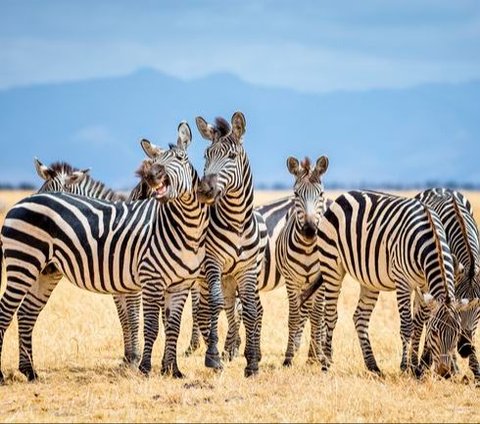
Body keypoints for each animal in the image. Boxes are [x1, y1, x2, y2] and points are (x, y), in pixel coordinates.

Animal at [0, 121, 207, 380]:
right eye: (157, 160)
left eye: (180, 158)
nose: (152, 175)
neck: (184, 226)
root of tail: (18, 204)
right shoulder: (147, 280)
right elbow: (143, 323)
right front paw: (142, 366)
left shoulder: (176, 284)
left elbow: (171, 326)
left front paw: (172, 370)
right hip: (23, 264)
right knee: (6, 312)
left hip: (45, 271)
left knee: (26, 313)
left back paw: (29, 372)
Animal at [193, 111, 264, 376]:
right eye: (206, 155)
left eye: (231, 157)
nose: (204, 191)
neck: (237, 222)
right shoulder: (212, 263)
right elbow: (214, 305)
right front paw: (213, 357)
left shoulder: (246, 269)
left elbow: (251, 310)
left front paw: (252, 363)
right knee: (208, 309)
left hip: (230, 277)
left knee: (236, 309)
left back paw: (234, 349)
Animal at [300, 190, 472, 376]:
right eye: (434, 332)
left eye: (457, 333)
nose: (445, 373)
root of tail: (342, 196)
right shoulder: (403, 282)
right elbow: (407, 326)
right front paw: (405, 367)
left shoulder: (425, 285)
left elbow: (419, 325)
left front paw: (416, 368)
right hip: (332, 265)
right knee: (331, 315)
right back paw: (326, 364)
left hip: (369, 279)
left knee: (360, 317)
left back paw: (373, 366)